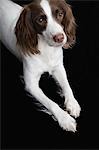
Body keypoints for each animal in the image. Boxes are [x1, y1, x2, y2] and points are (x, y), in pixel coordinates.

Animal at [0, 0, 81, 131]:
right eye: (41, 20)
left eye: (60, 14)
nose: (60, 38)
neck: (46, 49)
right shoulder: (31, 85)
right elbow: (51, 103)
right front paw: (65, 119)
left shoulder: (58, 67)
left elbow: (67, 85)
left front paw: (72, 103)